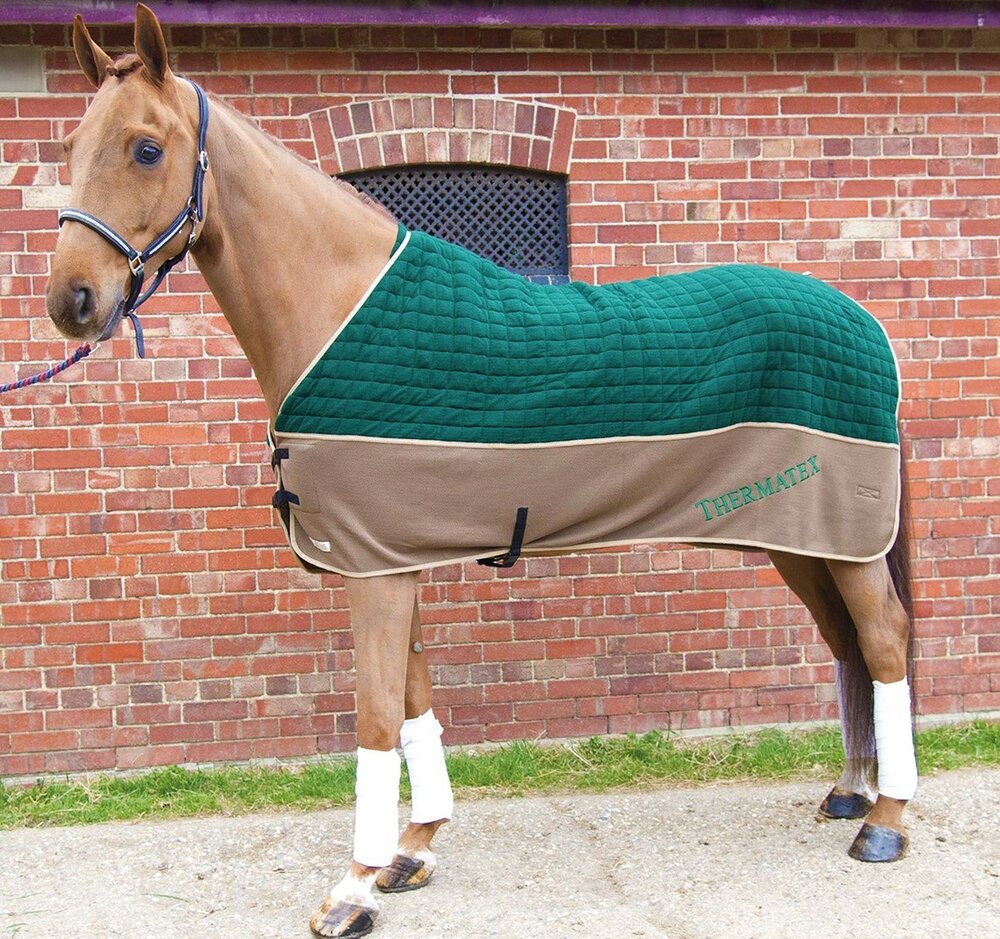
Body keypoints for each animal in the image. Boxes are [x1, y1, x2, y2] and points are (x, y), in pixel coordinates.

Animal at [43, 7, 917, 938]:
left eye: (145, 148)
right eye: (69, 145)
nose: (72, 301)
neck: (337, 307)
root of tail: (866, 324)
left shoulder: (376, 572)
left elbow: (376, 715)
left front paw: (352, 887)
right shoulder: (385, 556)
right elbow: (413, 701)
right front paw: (413, 848)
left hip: (846, 541)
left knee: (885, 641)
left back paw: (885, 822)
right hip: (805, 541)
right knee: (847, 644)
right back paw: (850, 791)